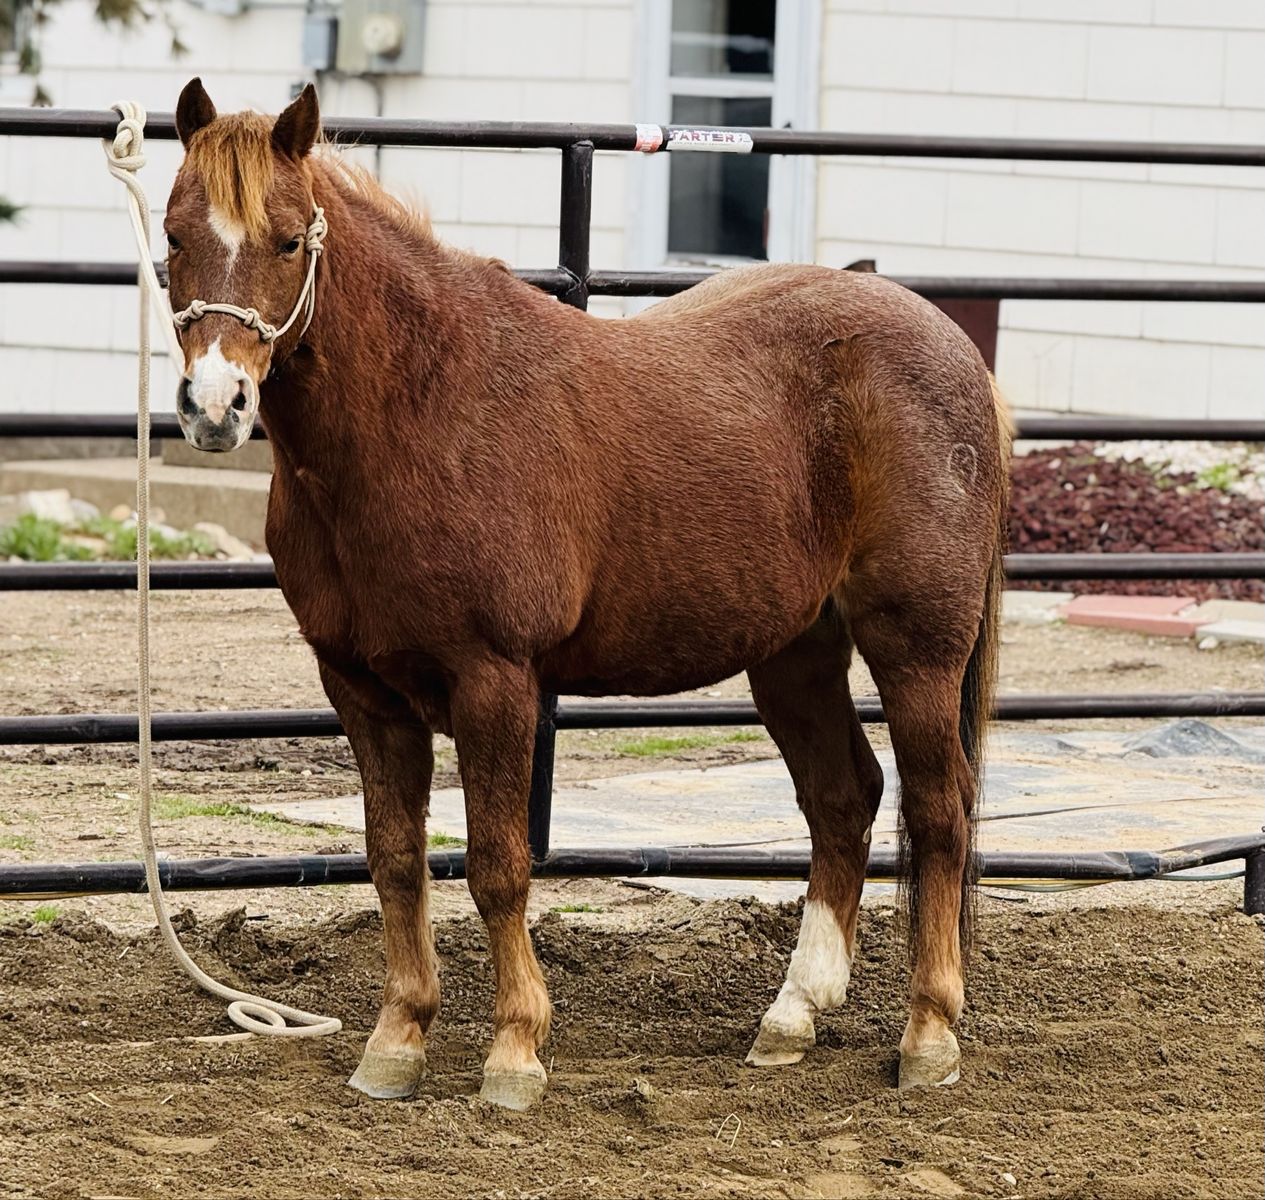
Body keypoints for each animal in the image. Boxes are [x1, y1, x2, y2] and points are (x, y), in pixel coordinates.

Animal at [163, 78, 1010, 1110]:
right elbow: (394, 860)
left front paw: (514, 1054)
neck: (421, 410)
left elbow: (497, 866)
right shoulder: (361, 691)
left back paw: (928, 1036)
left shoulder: (494, 681)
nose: (215, 406)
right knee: (843, 798)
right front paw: (396, 1042)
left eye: (288, 241)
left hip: (915, 648)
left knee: (939, 814)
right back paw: (791, 1018)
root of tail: (952, 349)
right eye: (173, 235)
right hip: (795, 654)